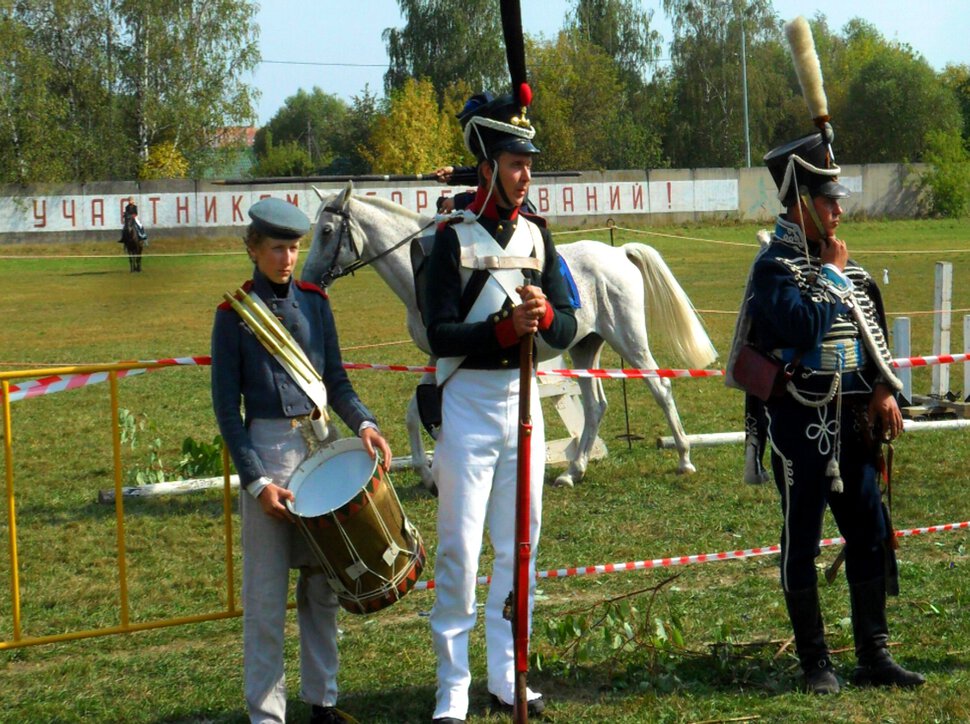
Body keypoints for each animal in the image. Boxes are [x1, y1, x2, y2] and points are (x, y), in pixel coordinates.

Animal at [302, 185, 720, 492]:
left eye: (327, 231)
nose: (305, 281)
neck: (422, 270)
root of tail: (619, 252)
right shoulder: (440, 359)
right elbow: (413, 412)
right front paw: (426, 473)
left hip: (629, 339)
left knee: (660, 387)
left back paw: (684, 458)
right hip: (586, 348)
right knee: (596, 405)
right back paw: (573, 471)